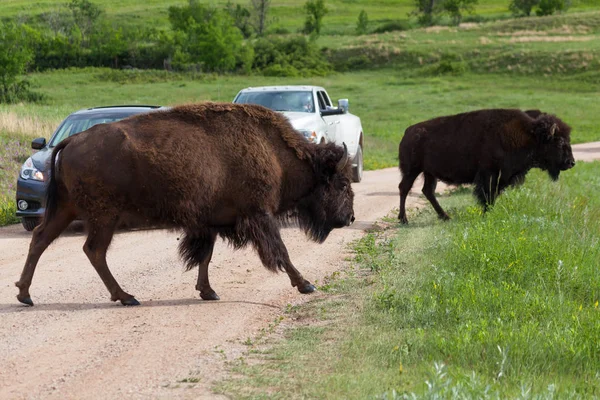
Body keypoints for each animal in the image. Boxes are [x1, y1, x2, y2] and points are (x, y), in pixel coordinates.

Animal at [15, 102, 356, 306]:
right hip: (103, 216)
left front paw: (208, 292)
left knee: (41, 239)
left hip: (66, 209)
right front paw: (306, 284)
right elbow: (280, 252)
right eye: (341, 183)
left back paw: (25, 295)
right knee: (93, 250)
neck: (276, 154)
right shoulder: (260, 214)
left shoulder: (210, 222)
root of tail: (71, 140)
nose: (350, 218)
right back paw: (126, 296)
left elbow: (204, 256)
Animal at [396, 108, 576, 223]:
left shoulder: (500, 178)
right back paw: (404, 219)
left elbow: (493, 196)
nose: (571, 162)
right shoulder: (489, 175)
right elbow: (487, 196)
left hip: (429, 173)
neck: (528, 136)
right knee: (404, 188)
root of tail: (408, 132)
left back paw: (445, 217)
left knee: (428, 191)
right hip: (412, 170)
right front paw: (486, 215)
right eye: (559, 142)